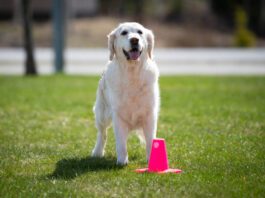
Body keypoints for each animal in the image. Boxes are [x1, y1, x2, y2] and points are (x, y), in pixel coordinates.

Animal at [91, 22, 159, 165]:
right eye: (124, 33)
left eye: (140, 32)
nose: (134, 40)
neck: (132, 73)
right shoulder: (118, 116)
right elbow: (121, 143)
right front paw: (122, 161)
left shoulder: (150, 115)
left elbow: (150, 140)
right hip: (102, 113)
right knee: (102, 133)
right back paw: (97, 152)